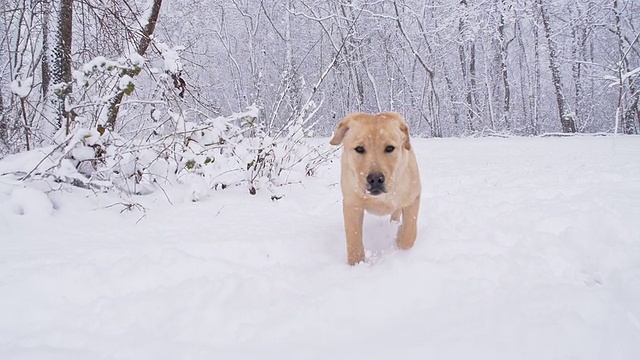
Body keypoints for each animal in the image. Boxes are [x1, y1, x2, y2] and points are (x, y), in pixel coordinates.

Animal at [330, 111, 420, 266]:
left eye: (389, 148)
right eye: (359, 149)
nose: (376, 179)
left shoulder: (413, 198)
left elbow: (409, 233)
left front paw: (400, 237)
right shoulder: (352, 205)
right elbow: (353, 240)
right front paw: (356, 264)